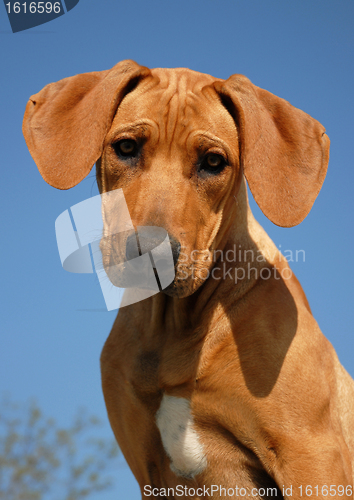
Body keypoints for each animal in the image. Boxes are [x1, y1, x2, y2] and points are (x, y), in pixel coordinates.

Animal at [23, 60, 352, 498]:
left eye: (213, 162)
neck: (173, 327)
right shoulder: (147, 470)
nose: (152, 252)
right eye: (126, 148)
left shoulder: (310, 455)